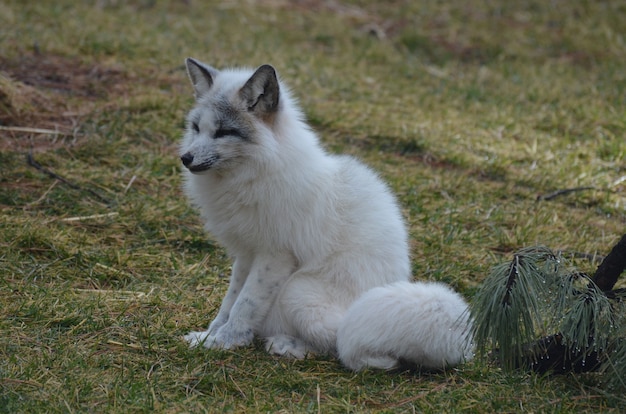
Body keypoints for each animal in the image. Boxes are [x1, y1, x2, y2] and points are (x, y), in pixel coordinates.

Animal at [178, 57, 470, 368]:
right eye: (196, 127)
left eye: (223, 132)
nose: (185, 158)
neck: (255, 174)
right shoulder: (246, 254)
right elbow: (229, 301)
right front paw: (209, 335)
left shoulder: (276, 255)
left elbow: (244, 305)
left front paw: (223, 342)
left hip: (296, 291)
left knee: (347, 346)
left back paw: (289, 345)